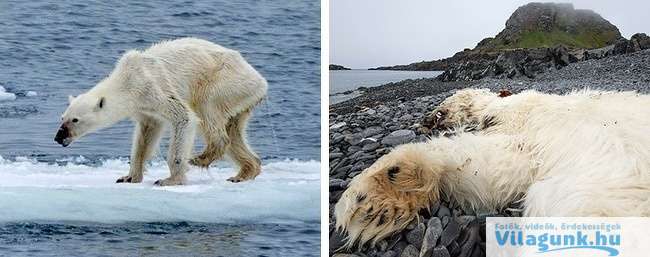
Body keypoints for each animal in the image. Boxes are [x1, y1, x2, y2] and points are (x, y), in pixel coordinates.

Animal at [53, 37, 266, 184]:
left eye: (75, 120)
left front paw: (169, 180)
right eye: (62, 117)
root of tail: (260, 81)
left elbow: (184, 117)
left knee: (207, 110)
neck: (127, 80)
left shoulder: (153, 88)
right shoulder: (144, 108)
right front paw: (128, 177)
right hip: (241, 98)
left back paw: (200, 158)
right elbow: (146, 135)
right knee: (234, 130)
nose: (58, 137)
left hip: (225, 82)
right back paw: (244, 172)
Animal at [334, 88, 648, 246]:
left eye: (443, 102)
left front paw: (369, 193)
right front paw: (386, 196)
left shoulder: (521, 123)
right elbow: (490, 167)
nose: (424, 117)